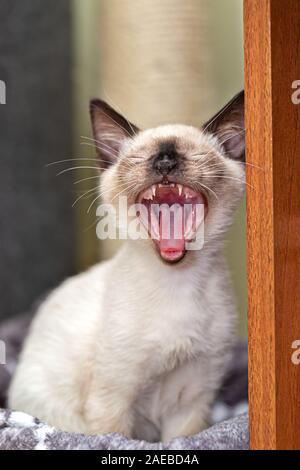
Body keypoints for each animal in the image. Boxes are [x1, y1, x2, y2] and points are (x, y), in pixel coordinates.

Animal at [8, 91, 245, 440]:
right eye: (141, 157)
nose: (164, 162)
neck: (176, 282)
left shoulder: (191, 404)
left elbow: (181, 438)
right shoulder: (112, 400)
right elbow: (114, 436)